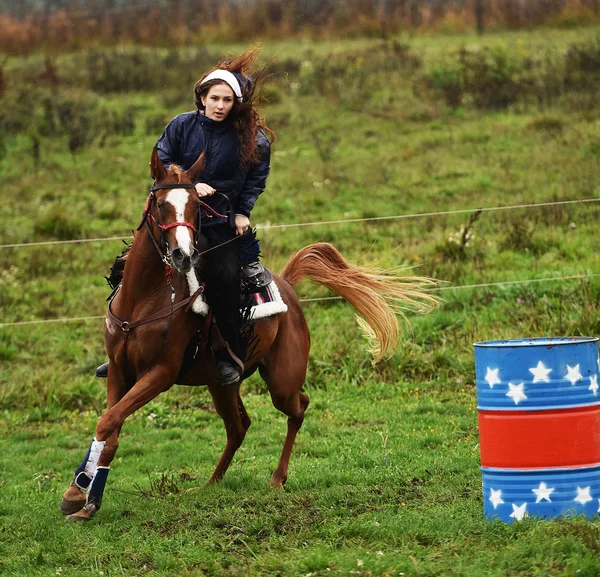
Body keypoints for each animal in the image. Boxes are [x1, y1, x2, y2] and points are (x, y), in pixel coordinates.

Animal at [58, 147, 438, 516]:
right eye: (161, 204)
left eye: (195, 206)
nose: (183, 255)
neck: (144, 300)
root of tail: (287, 285)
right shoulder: (119, 370)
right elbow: (110, 426)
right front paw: (83, 495)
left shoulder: (160, 374)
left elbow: (108, 422)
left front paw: (82, 494)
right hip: (221, 383)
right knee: (238, 427)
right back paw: (211, 483)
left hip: (282, 381)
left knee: (298, 407)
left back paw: (277, 478)